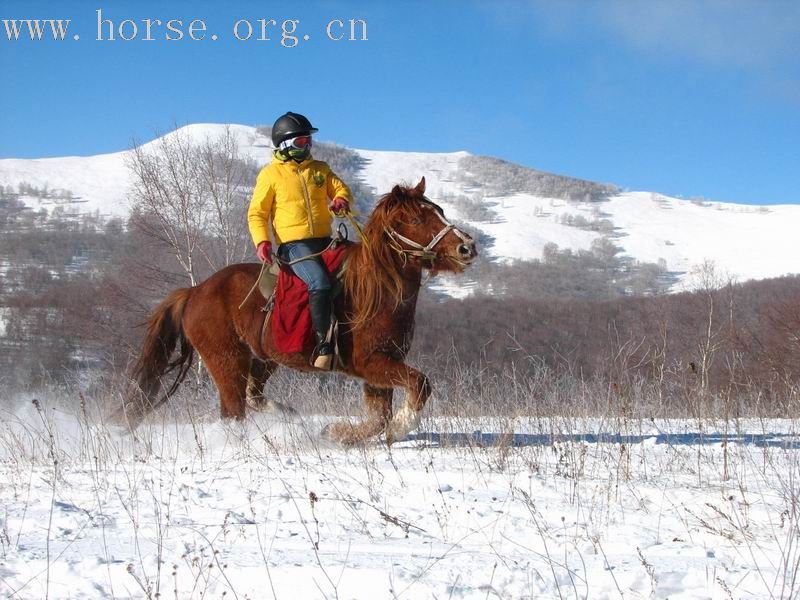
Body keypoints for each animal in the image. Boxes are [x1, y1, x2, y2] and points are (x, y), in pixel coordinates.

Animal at [122, 178, 478, 446]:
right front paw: (400, 427)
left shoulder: (379, 368)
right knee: (233, 411)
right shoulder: (373, 363)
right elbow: (419, 385)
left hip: (262, 358)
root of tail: (195, 291)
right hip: (226, 361)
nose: (467, 247)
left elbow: (379, 418)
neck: (373, 289)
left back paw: (287, 415)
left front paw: (338, 433)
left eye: (439, 211)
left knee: (252, 397)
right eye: (417, 219)